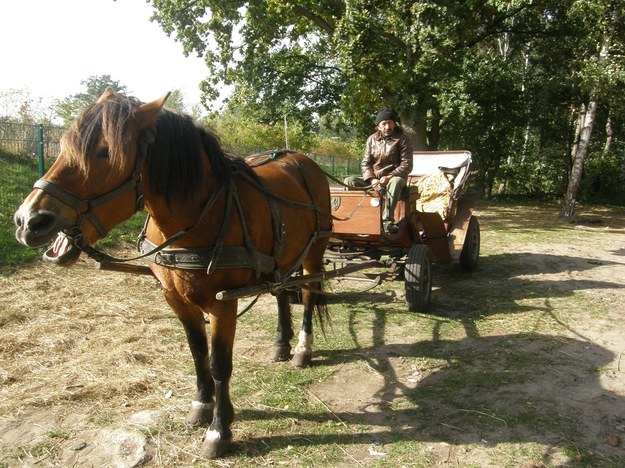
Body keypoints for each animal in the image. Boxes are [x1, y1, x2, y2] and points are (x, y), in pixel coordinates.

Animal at [12, 87, 334, 458]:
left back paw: (302, 349)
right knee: (282, 292)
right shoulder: (175, 298)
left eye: (106, 152)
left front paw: (219, 430)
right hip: (283, 258)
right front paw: (202, 406)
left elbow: (219, 363)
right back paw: (281, 345)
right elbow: (197, 353)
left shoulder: (223, 303)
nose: (28, 220)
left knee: (308, 294)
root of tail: (303, 161)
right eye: (64, 145)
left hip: (314, 252)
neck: (199, 214)